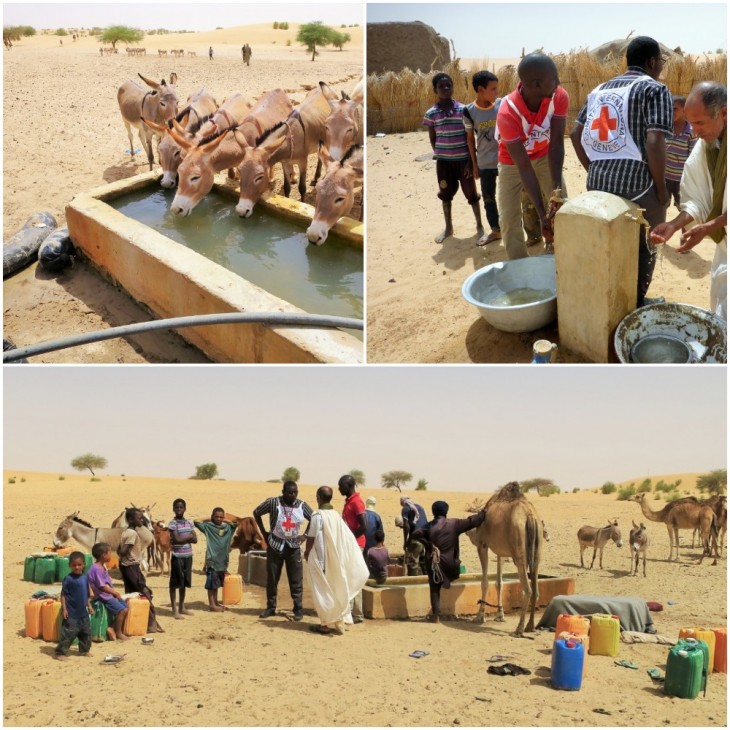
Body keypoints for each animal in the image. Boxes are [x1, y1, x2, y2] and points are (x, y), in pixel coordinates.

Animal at [466, 480, 540, 636]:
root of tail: (530, 516)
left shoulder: (482, 545)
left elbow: (485, 582)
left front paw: (480, 616)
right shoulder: (501, 551)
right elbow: (499, 582)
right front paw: (500, 615)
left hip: (519, 553)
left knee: (527, 589)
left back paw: (519, 629)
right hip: (538, 551)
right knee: (536, 589)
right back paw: (530, 626)